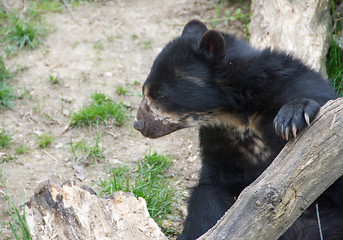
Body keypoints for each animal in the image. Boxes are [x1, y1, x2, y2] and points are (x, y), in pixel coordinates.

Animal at [134, 19, 343, 239]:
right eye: (145, 91)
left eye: (162, 95)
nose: (139, 124)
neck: (237, 114)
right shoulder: (217, 140)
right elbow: (213, 185)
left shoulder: (297, 85)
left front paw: (293, 115)